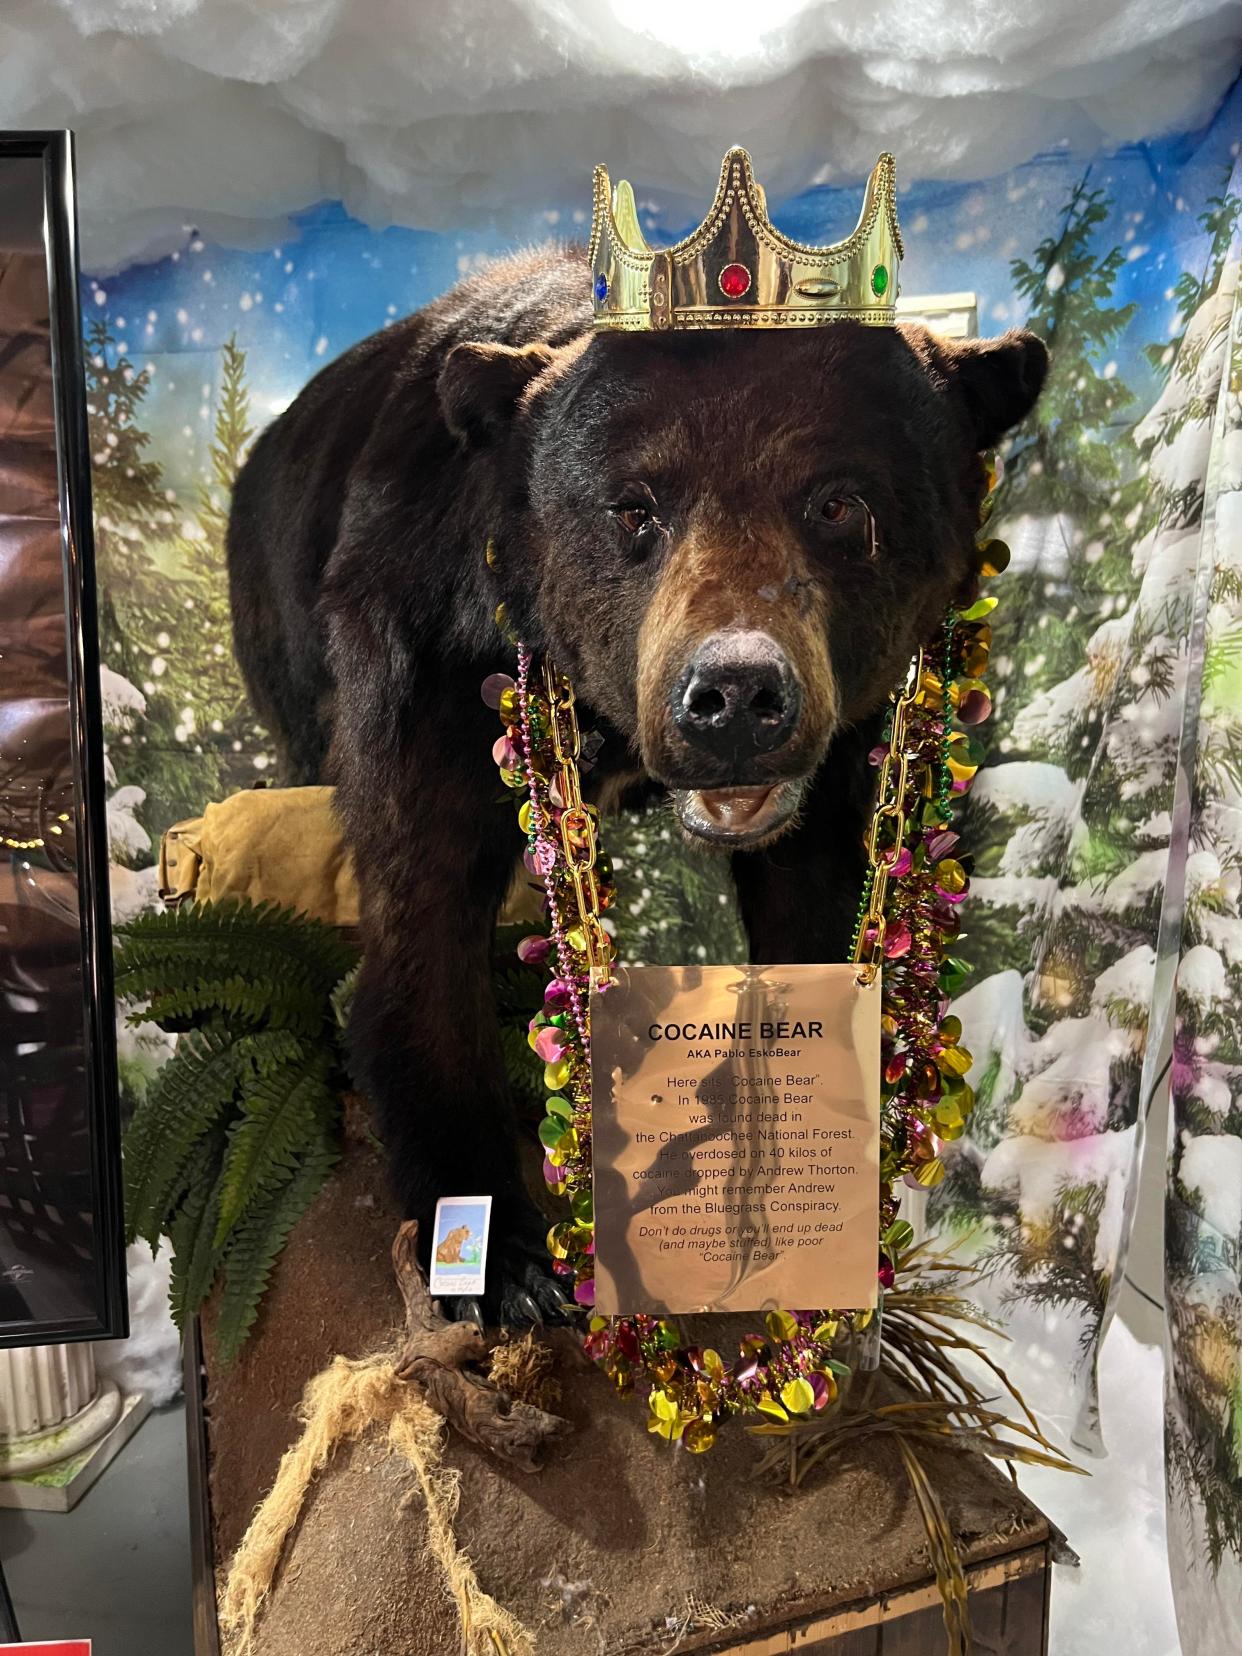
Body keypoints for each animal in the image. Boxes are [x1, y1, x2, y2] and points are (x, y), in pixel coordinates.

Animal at [226, 149, 1053, 1324]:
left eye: (839, 503)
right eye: (631, 508)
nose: (737, 697)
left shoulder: (838, 755)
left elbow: (812, 909)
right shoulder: (431, 649)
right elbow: (420, 917)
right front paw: (506, 1260)